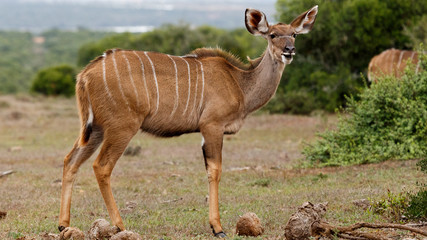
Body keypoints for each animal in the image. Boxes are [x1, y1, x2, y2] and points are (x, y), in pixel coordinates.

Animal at [58, 6, 320, 238]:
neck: (239, 83)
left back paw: (63, 225)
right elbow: (215, 170)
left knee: (71, 160)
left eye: (294, 34)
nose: (289, 50)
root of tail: (86, 74)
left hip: (96, 129)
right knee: (101, 166)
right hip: (121, 127)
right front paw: (218, 228)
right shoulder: (212, 126)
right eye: (273, 34)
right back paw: (120, 225)